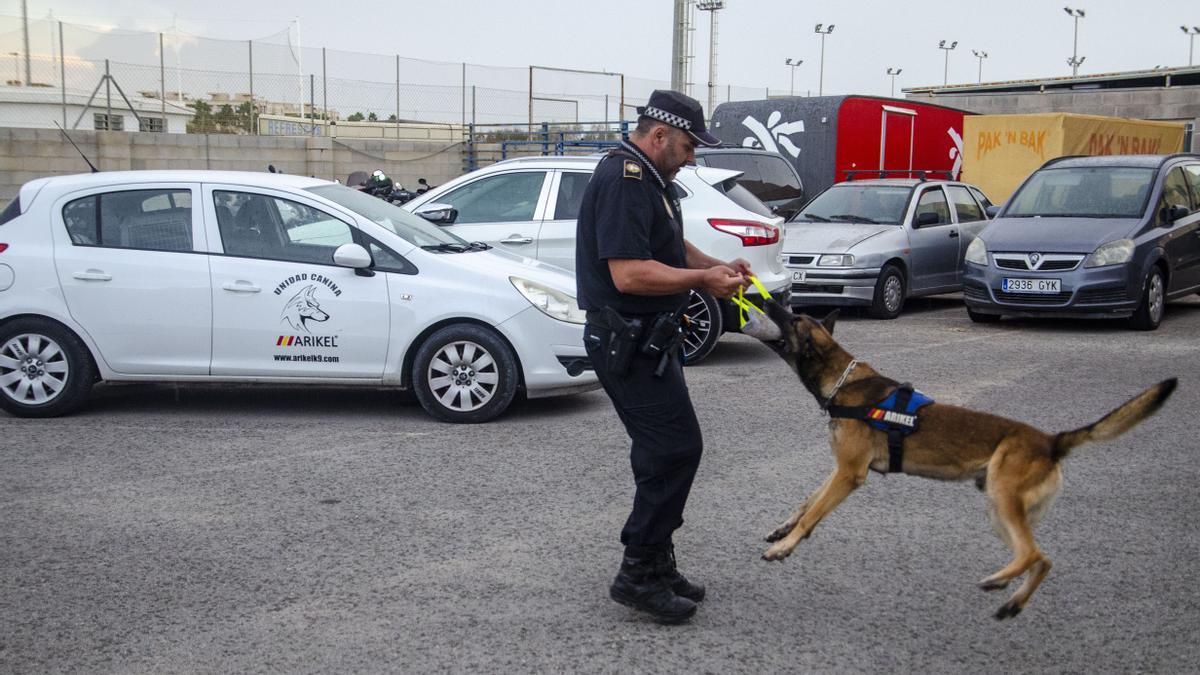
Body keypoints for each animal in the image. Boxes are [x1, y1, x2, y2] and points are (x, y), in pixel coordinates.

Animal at [753, 302, 1176, 619]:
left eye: (793, 318)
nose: (770, 301)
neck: (843, 381)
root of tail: (1050, 442)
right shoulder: (840, 470)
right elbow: (807, 501)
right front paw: (783, 529)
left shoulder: (849, 475)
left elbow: (813, 511)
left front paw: (784, 546)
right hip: (999, 512)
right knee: (1042, 559)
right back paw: (1011, 600)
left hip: (1002, 500)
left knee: (1033, 553)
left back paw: (998, 581)